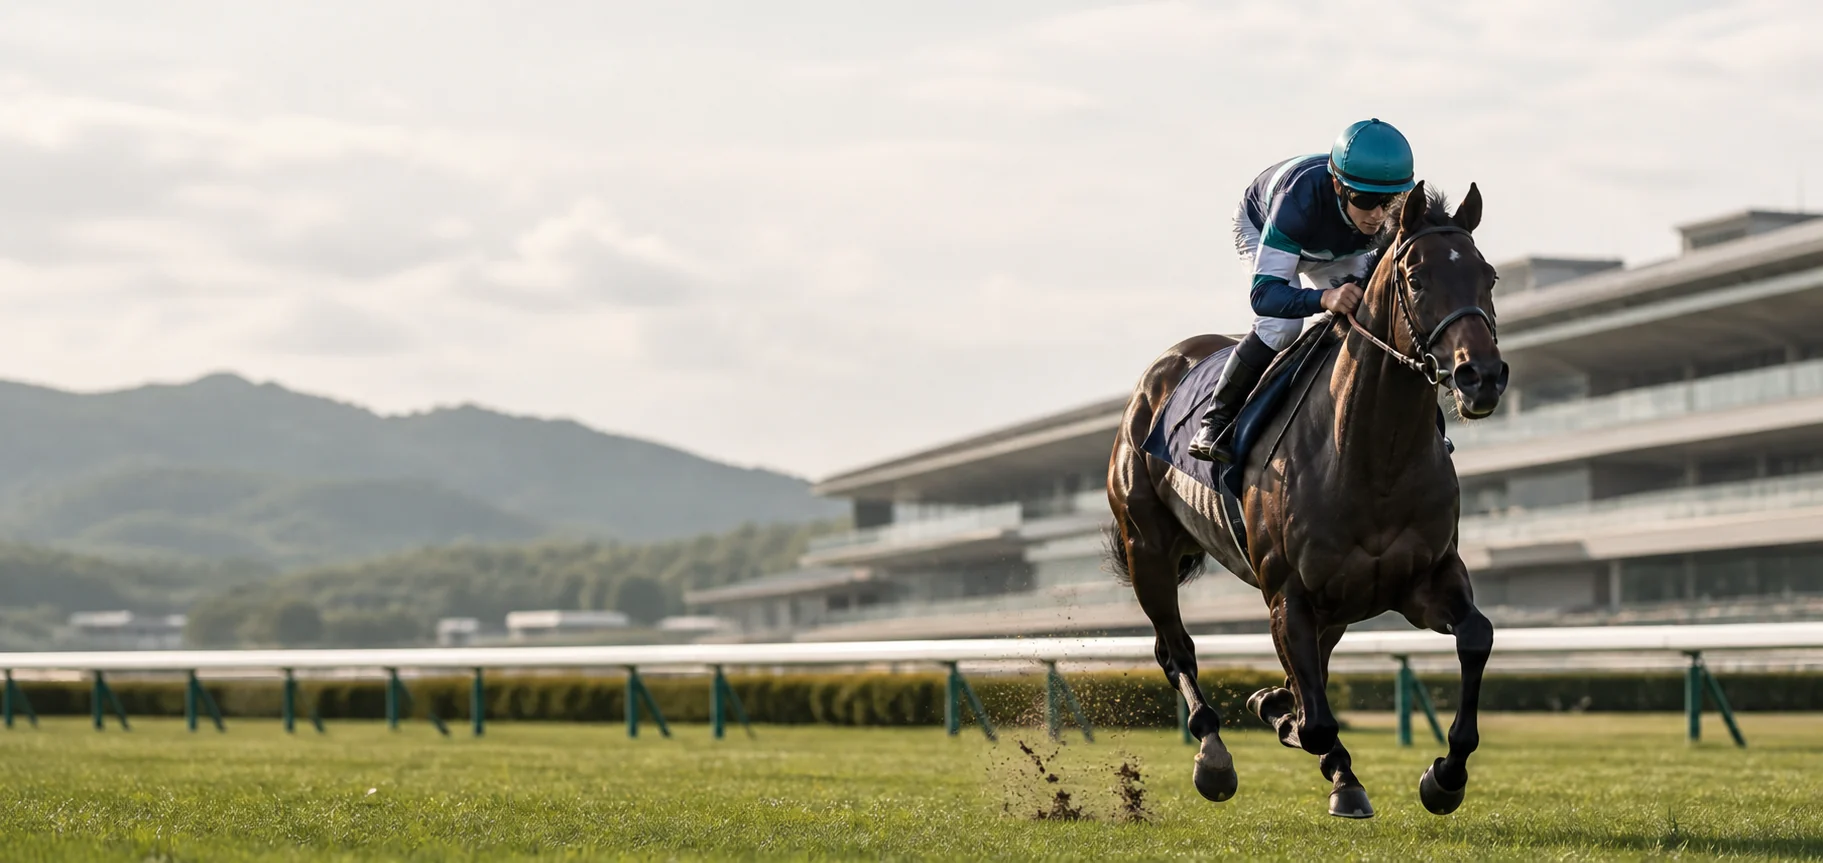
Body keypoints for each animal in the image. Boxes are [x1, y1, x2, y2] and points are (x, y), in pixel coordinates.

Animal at [1105, 181, 1506, 818]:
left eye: (1487, 276)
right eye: (1416, 278)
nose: (1482, 377)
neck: (1371, 455)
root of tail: (1162, 370)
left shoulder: (1425, 578)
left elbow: (1476, 636)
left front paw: (1444, 776)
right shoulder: (1287, 593)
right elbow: (1315, 720)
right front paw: (1299, 733)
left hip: (1335, 606)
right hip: (1147, 548)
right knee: (1176, 649)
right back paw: (1214, 756)